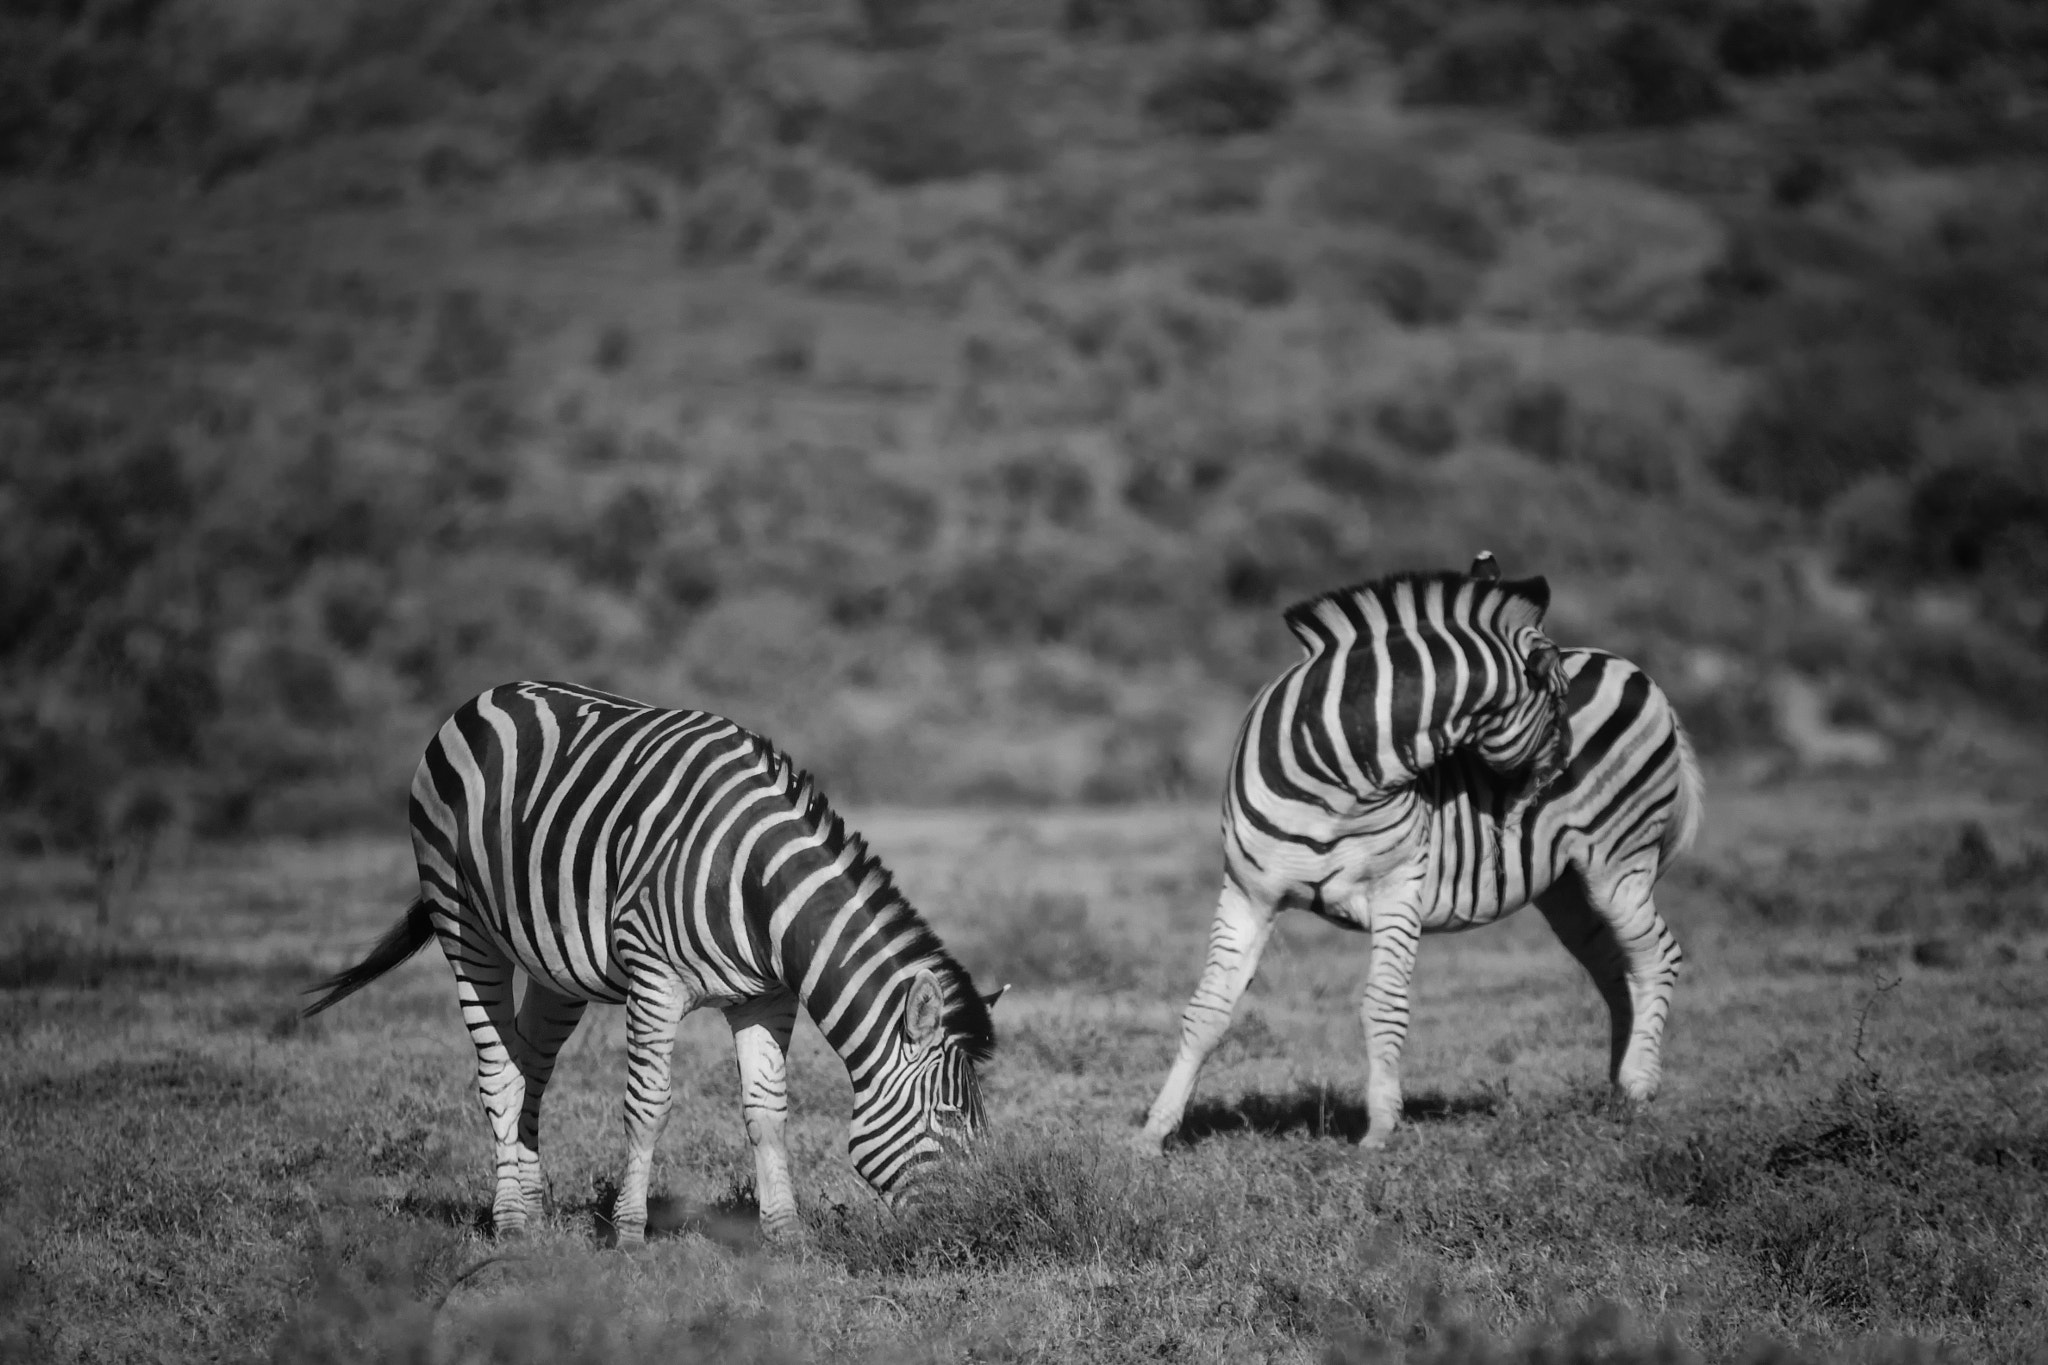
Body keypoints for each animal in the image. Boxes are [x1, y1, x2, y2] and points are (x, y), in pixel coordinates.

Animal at [301, 683, 999, 1252]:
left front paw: (786, 1233)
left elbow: (767, 1110)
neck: (755, 886)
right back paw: (511, 1224)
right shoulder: (654, 979)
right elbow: (648, 1106)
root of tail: (485, 696)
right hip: (461, 920)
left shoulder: (766, 997)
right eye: (949, 1117)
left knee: (530, 1066)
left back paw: (533, 1205)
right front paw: (630, 1234)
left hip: (555, 965)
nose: (978, 1224)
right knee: (498, 1074)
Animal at [1146, 556, 1703, 1154]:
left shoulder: (1396, 889)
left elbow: (1383, 1006)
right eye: (1558, 706)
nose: (1559, 779)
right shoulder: (1249, 891)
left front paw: (1380, 1130)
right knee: (1618, 971)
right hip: (1568, 889)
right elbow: (1207, 1010)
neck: (1335, 778)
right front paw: (1153, 1132)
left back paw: (1639, 1090)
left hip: (1618, 859)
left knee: (1657, 956)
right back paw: (1616, 1094)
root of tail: (1629, 666)